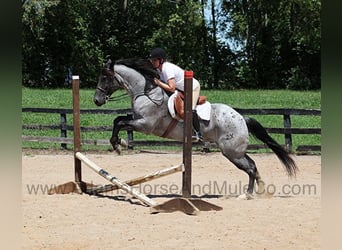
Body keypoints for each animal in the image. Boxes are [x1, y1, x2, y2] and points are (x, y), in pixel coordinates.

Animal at [93, 58, 296, 199]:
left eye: (105, 77)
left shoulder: (145, 125)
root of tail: (242, 118)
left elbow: (121, 123)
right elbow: (118, 120)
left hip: (231, 152)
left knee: (251, 167)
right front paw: (118, 143)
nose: (96, 100)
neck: (146, 92)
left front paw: (118, 144)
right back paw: (261, 190)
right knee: (253, 165)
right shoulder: (136, 119)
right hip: (235, 151)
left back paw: (247, 194)